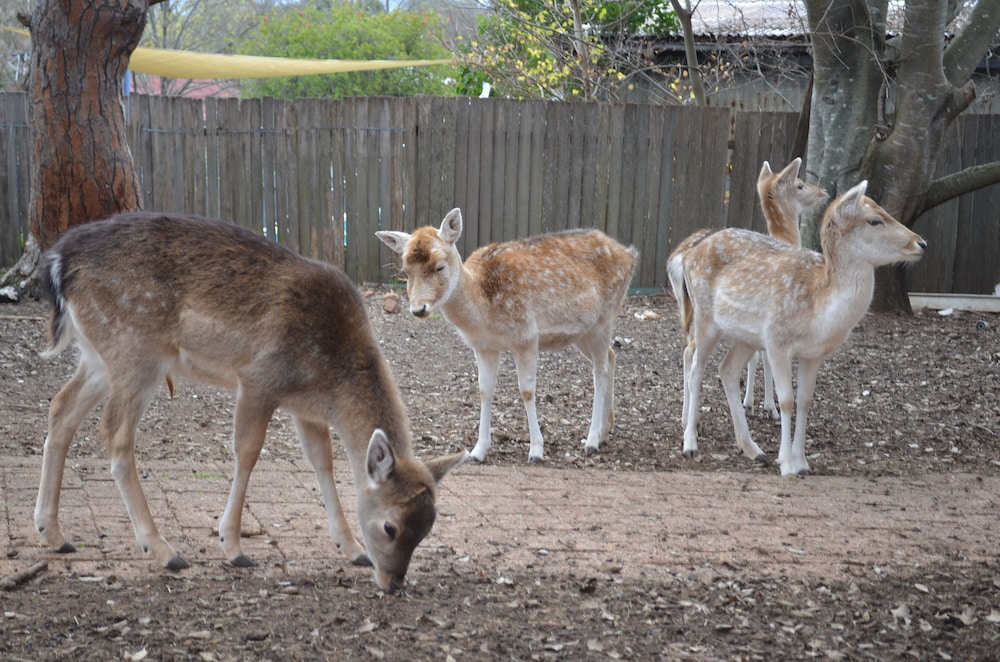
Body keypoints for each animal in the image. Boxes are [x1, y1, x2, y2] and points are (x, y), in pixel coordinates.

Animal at [35, 212, 468, 593]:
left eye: (427, 529)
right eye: (390, 526)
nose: (394, 583)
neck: (329, 377)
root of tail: (59, 262)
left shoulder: (305, 408)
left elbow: (322, 461)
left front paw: (352, 548)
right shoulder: (259, 380)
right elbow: (247, 453)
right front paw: (233, 547)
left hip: (97, 354)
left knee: (60, 408)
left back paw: (53, 533)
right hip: (135, 348)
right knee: (114, 432)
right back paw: (163, 550)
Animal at [376, 209, 637, 464]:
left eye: (440, 266)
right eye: (405, 271)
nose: (418, 309)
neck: (484, 311)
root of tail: (630, 254)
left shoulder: (526, 336)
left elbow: (527, 391)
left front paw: (536, 451)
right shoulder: (483, 347)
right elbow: (484, 390)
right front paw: (477, 451)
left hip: (605, 317)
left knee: (599, 371)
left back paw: (591, 440)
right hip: (583, 332)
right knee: (611, 356)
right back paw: (604, 431)